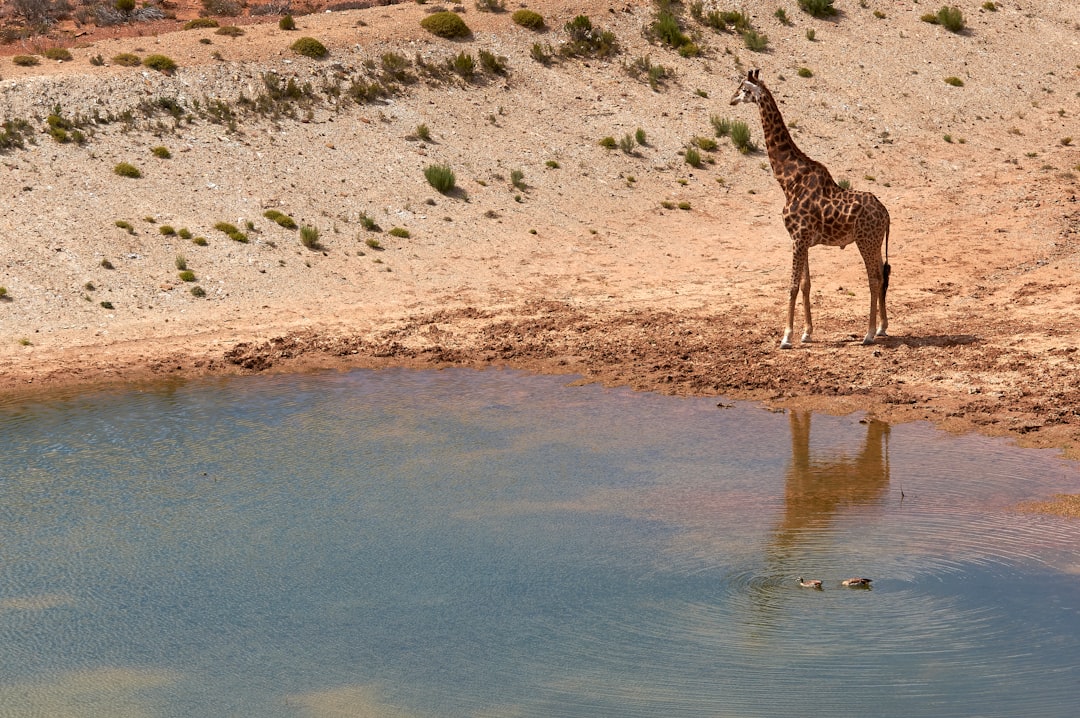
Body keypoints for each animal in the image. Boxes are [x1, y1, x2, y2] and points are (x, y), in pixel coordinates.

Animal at [730, 69, 889, 347]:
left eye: (743, 88)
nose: (731, 100)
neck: (787, 179)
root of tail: (887, 214)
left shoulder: (798, 236)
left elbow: (792, 285)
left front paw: (786, 337)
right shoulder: (801, 239)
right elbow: (806, 284)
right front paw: (806, 333)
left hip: (865, 240)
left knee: (874, 278)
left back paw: (868, 334)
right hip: (875, 241)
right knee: (882, 275)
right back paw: (881, 327)